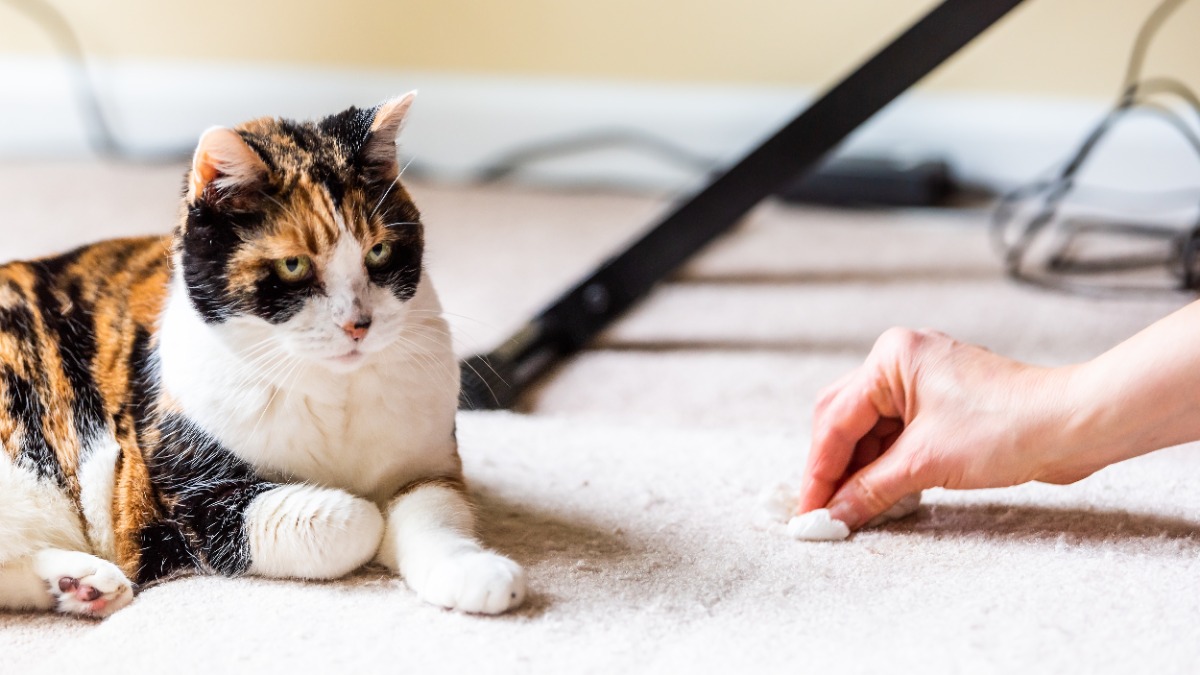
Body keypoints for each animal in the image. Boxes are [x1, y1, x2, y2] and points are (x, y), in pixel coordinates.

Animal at [0, 93, 528, 614]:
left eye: (378, 252)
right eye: (293, 265)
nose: (358, 324)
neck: (335, 393)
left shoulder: (428, 467)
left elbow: (434, 513)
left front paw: (475, 573)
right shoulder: (184, 501)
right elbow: (354, 520)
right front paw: (370, 521)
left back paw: (81, 584)